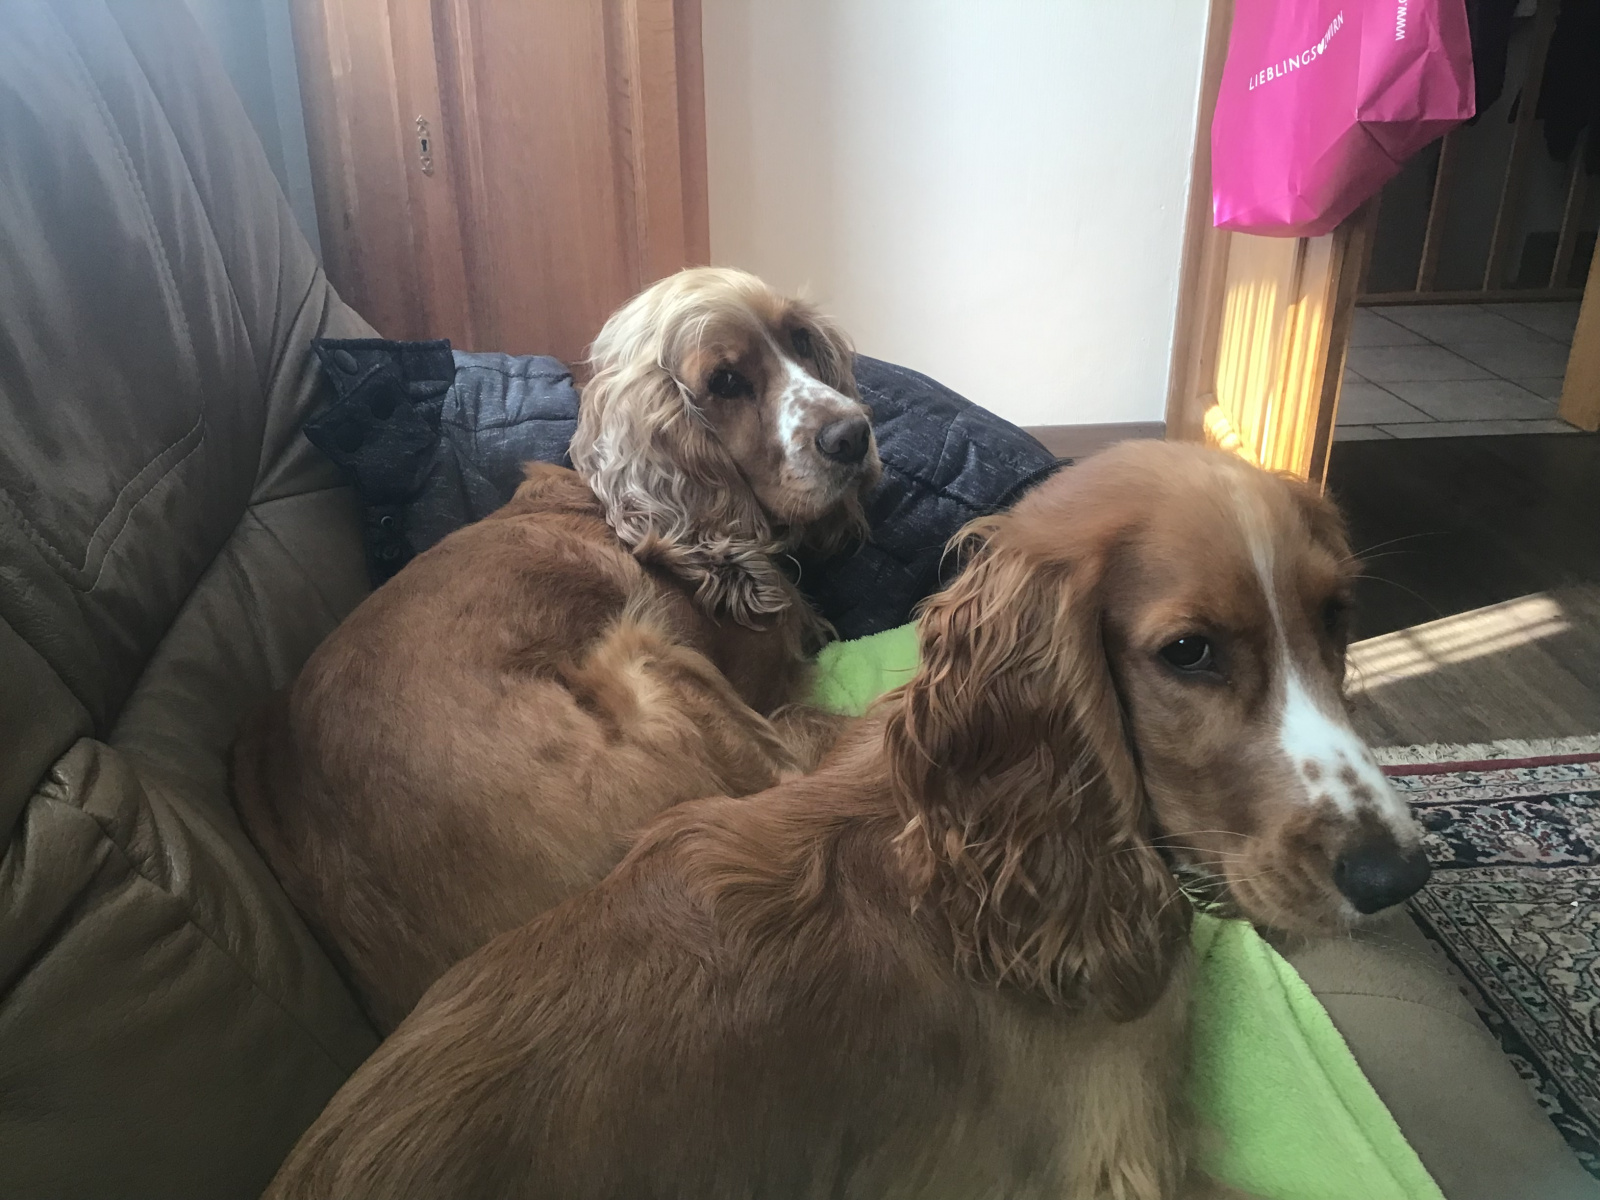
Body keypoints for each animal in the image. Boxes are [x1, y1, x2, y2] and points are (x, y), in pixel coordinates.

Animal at [234, 268, 881, 1031]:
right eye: (724, 381)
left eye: (800, 340)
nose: (853, 434)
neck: (645, 513)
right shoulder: (759, 683)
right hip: (646, 657)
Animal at [264, 441, 1431, 1200]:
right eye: (1188, 652)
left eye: (1338, 616)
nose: (1399, 876)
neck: (979, 857)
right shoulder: (1113, 1161)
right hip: (637, 650)